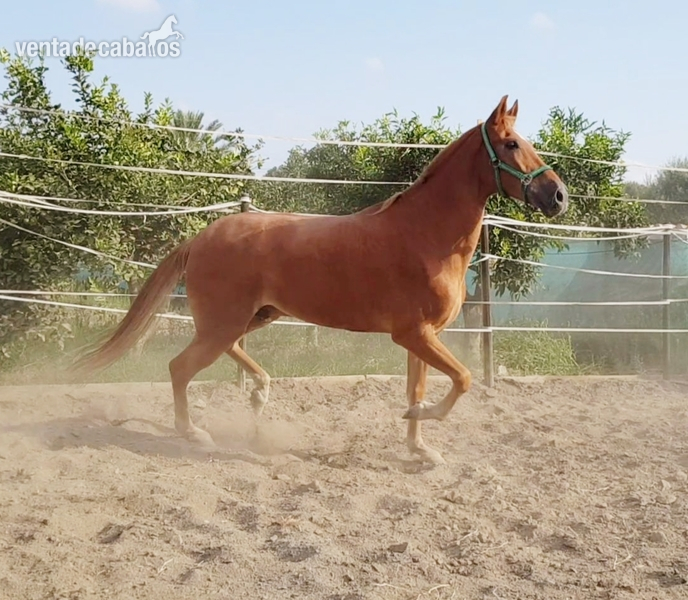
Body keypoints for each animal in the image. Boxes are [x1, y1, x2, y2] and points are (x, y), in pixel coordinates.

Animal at [72, 96, 568, 465]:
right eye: (509, 143)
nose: (558, 196)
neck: (425, 236)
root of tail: (201, 237)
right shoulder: (414, 334)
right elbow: (463, 379)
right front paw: (425, 422)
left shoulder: (422, 338)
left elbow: (419, 387)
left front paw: (420, 446)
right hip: (224, 323)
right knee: (180, 367)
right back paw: (193, 432)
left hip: (253, 317)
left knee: (226, 354)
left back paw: (260, 391)